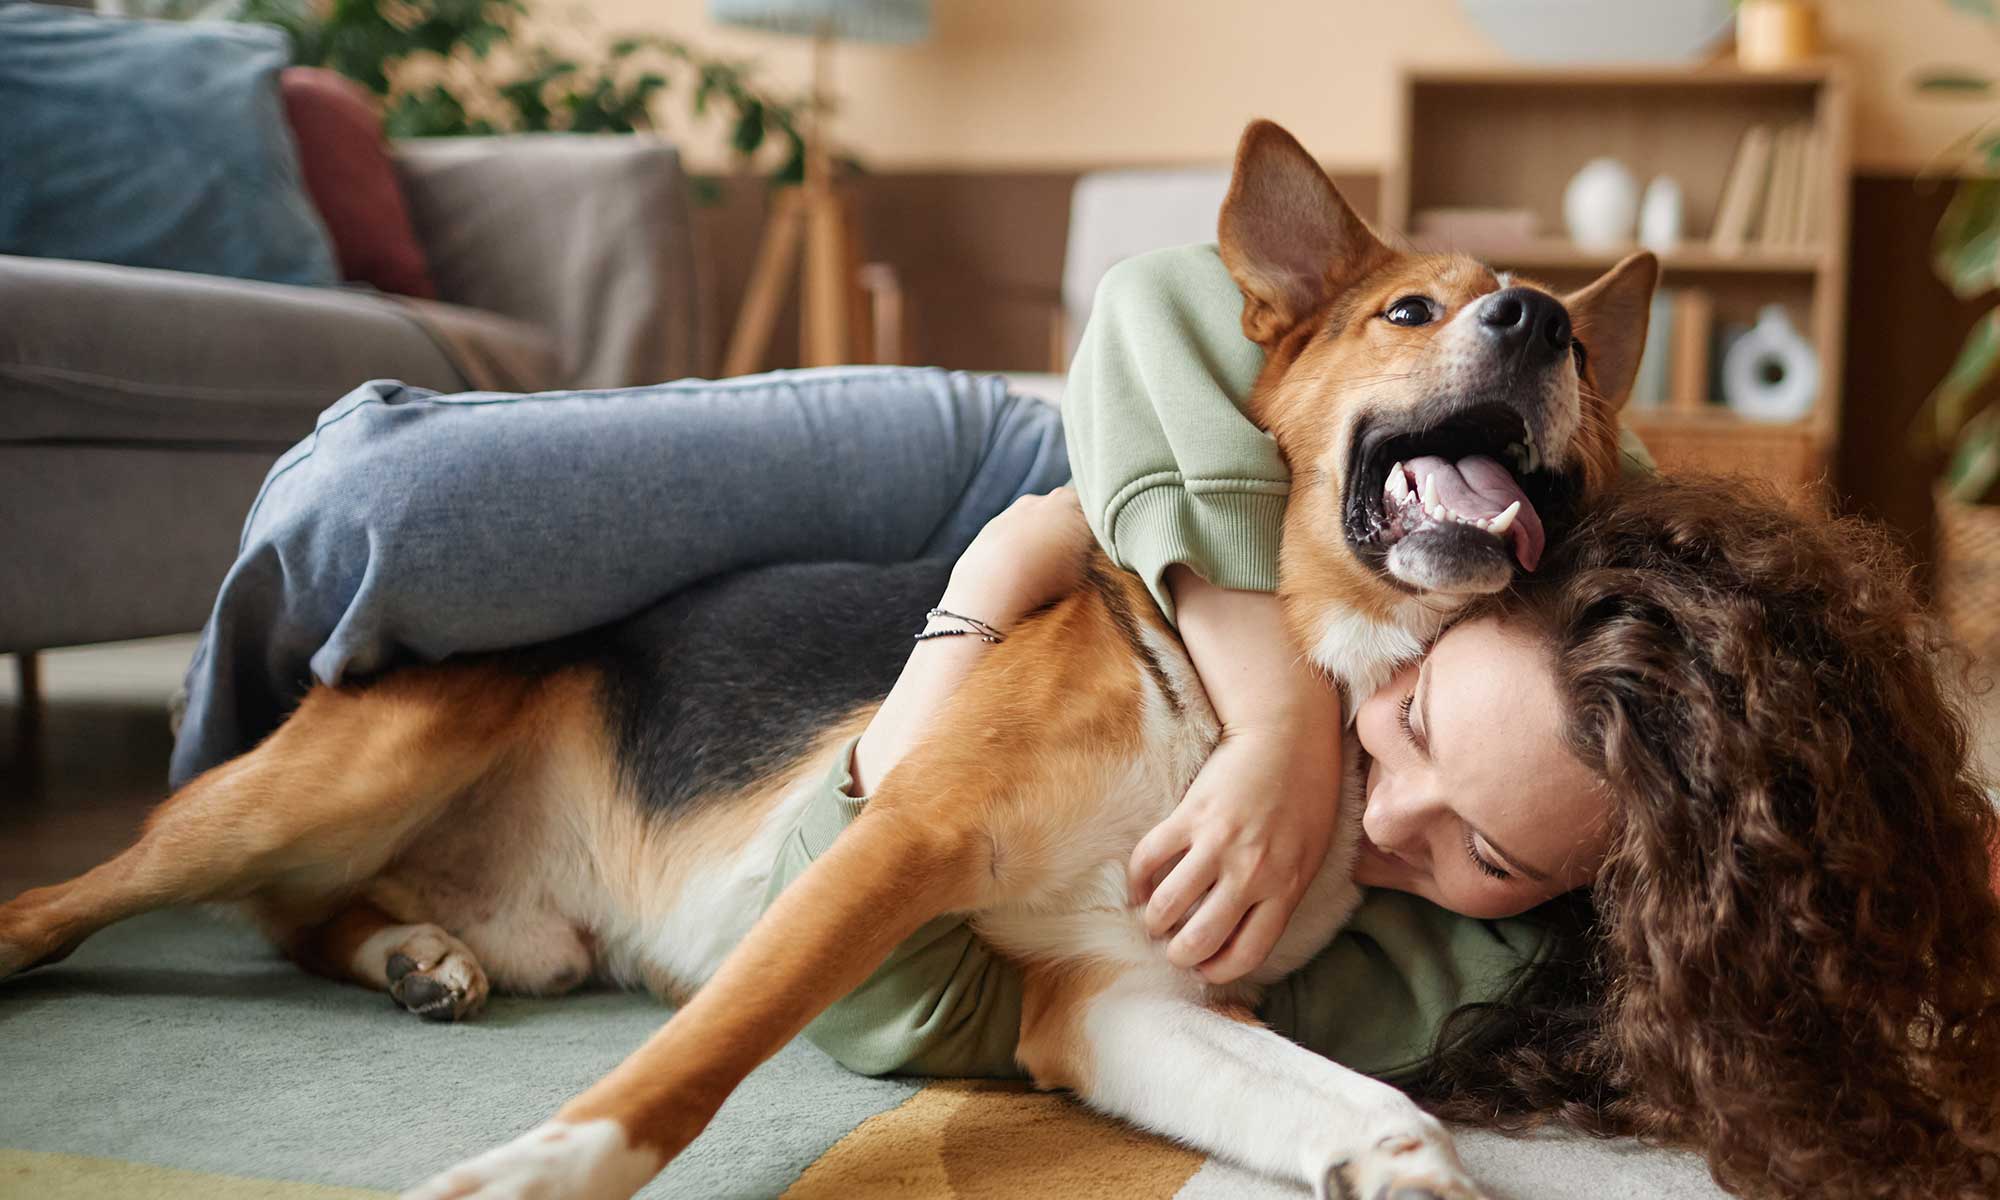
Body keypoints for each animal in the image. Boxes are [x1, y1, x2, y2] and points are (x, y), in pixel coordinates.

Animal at [0, 119, 1656, 1200]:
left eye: (1574, 355)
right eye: (1410, 309)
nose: (1534, 321)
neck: (1269, 701)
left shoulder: (1119, 1000)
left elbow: (1371, 1103)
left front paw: (1403, 1165)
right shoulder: (899, 841)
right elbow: (689, 1069)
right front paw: (535, 1172)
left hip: (505, 918)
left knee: (310, 923)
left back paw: (416, 958)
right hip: (327, 781)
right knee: (86, 900)